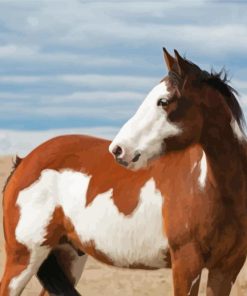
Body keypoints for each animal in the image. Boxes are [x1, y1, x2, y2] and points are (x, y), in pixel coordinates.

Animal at [0, 49, 245, 296]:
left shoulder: (226, 268)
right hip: (24, 258)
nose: (118, 149)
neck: (209, 187)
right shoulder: (186, 263)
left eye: (163, 101)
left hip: (68, 254)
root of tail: (24, 162)